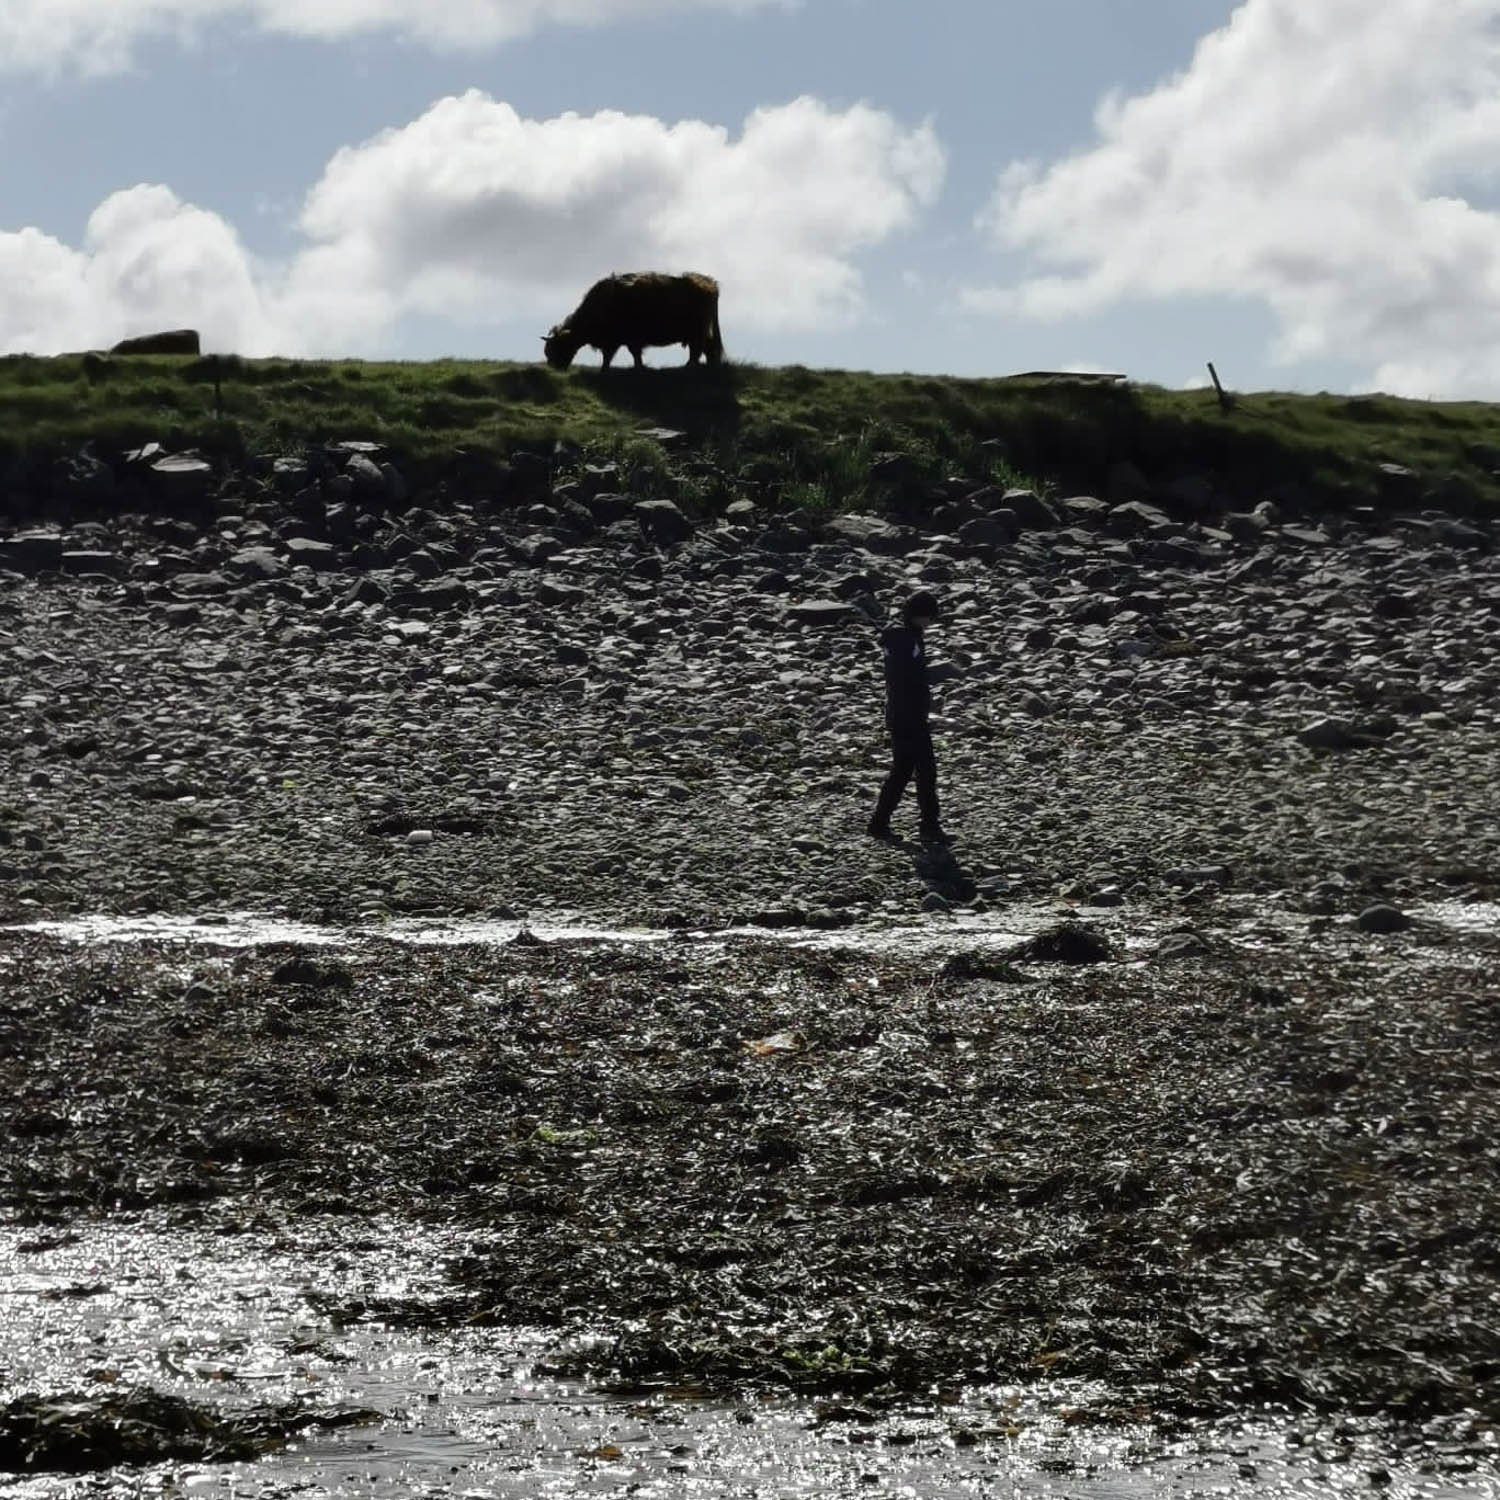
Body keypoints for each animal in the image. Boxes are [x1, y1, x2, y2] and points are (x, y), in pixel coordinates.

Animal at [543, 273, 723, 372]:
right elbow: (614, 356)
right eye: (547, 351)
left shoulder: (624, 339)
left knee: (697, 350)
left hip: (696, 332)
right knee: (707, 350)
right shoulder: (617, 341)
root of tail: (708, 283)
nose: (554, 369)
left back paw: (689, 367)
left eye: (556, 348)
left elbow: (626, 355)